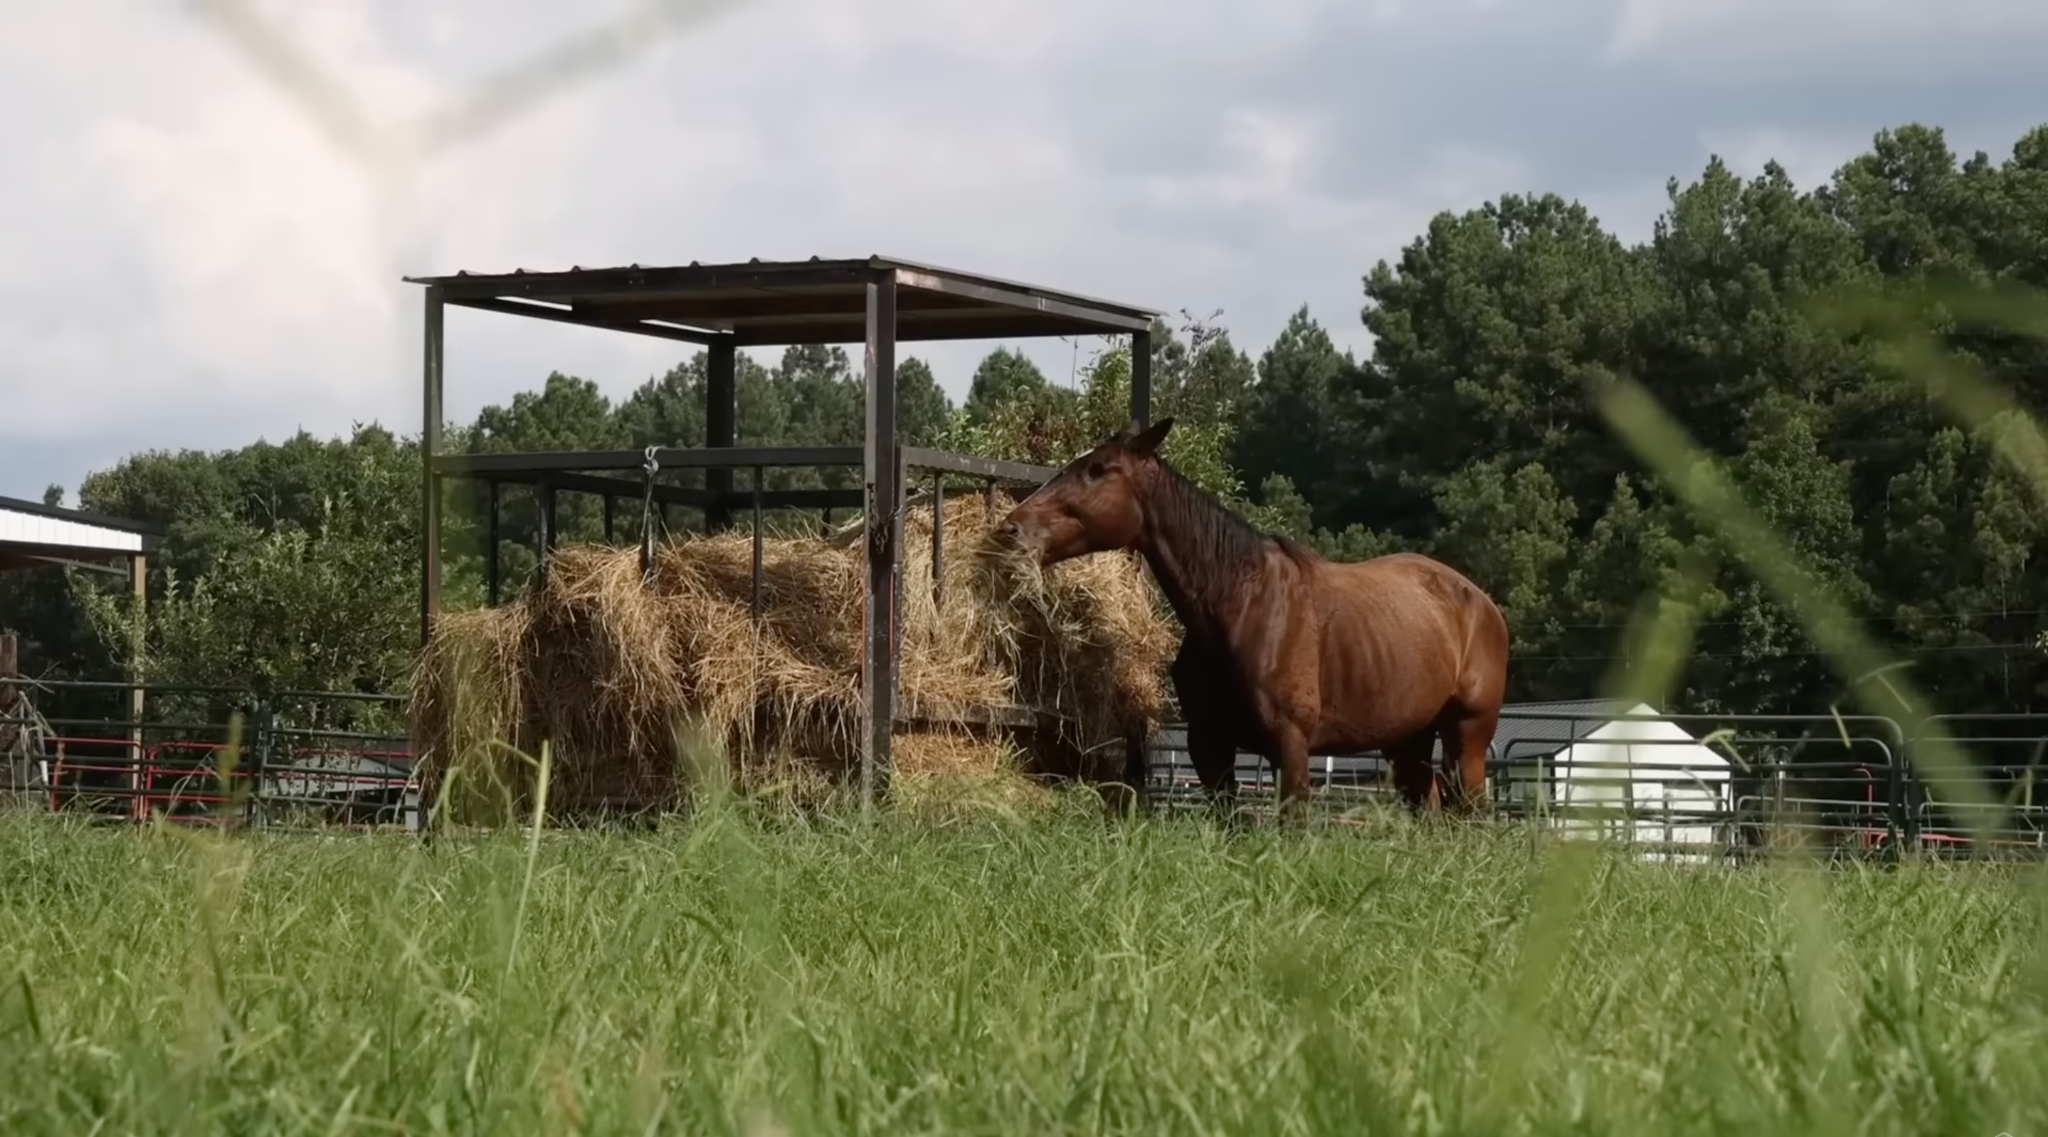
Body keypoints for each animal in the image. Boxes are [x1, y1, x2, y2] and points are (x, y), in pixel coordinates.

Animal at [993, 417, 1510, 820]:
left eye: (1099, 470)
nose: (1010, 529)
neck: (1240, 606)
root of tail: (1480, 601)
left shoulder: (1291, 745)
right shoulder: (1209, 747)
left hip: (1467, 735)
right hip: (1408, 740)